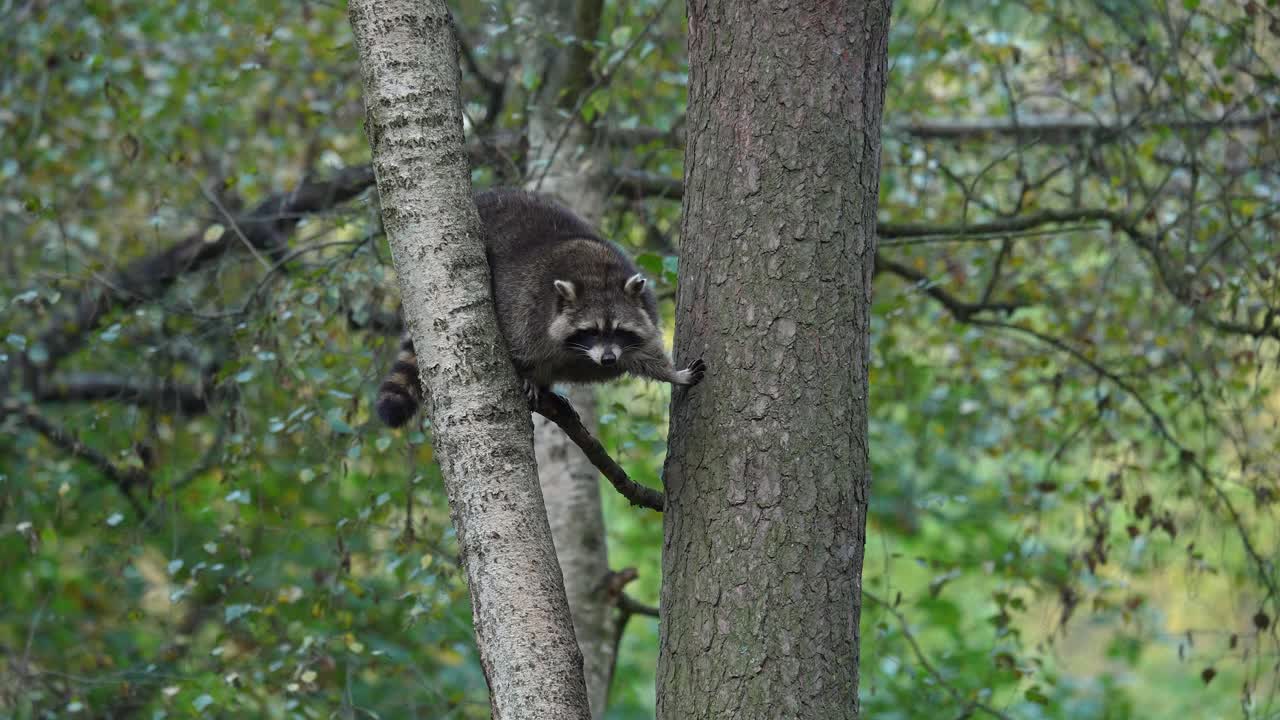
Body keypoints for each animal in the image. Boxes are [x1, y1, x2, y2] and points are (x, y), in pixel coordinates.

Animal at [373, 190, 706, 425]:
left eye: (619, 330)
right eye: (591, 331)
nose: (609, 359)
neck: (599, 276)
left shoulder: (640, 311)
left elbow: (644, 354)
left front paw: (673, 373)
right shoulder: (524, 308)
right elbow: (518, 348)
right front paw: (528, 376)